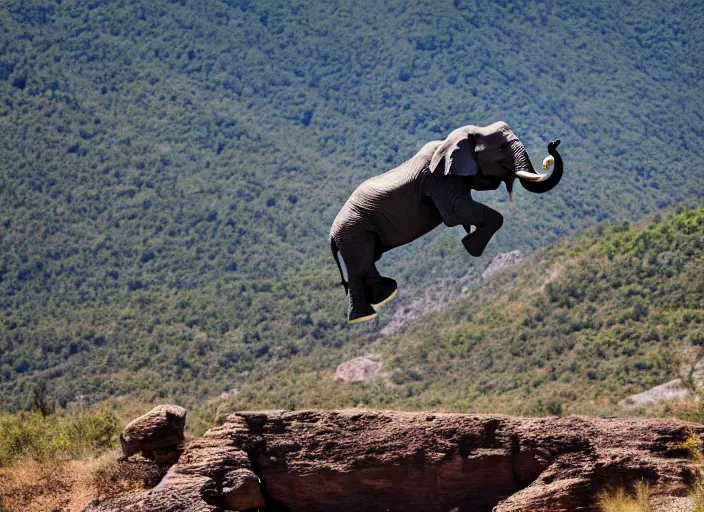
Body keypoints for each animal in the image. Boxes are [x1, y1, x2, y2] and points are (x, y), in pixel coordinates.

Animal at [330, 121, 568, 322]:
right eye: (501, 148)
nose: (553, 144)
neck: (462, 137)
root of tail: (331, 235)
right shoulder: (439, 179)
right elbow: (453, 213)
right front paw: (471, 247)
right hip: (354, 232)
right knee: (359, 268)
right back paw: (365, 315)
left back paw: (385, 292)